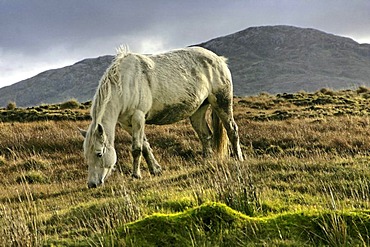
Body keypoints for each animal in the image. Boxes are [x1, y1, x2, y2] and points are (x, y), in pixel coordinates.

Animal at [79, 45, 244, 188]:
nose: (92, 184)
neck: (124, 83)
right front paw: (155, 170)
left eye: (99, 154)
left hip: (222, 102)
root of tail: (219, 59)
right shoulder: (127, 123)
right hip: (198, 110)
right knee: (205, 135)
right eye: (86, 156)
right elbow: (145, 146)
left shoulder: (138, 117)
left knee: (232, 130)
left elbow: (137, 148)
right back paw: (207, 161)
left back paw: (239, 158)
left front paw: (136, 175)